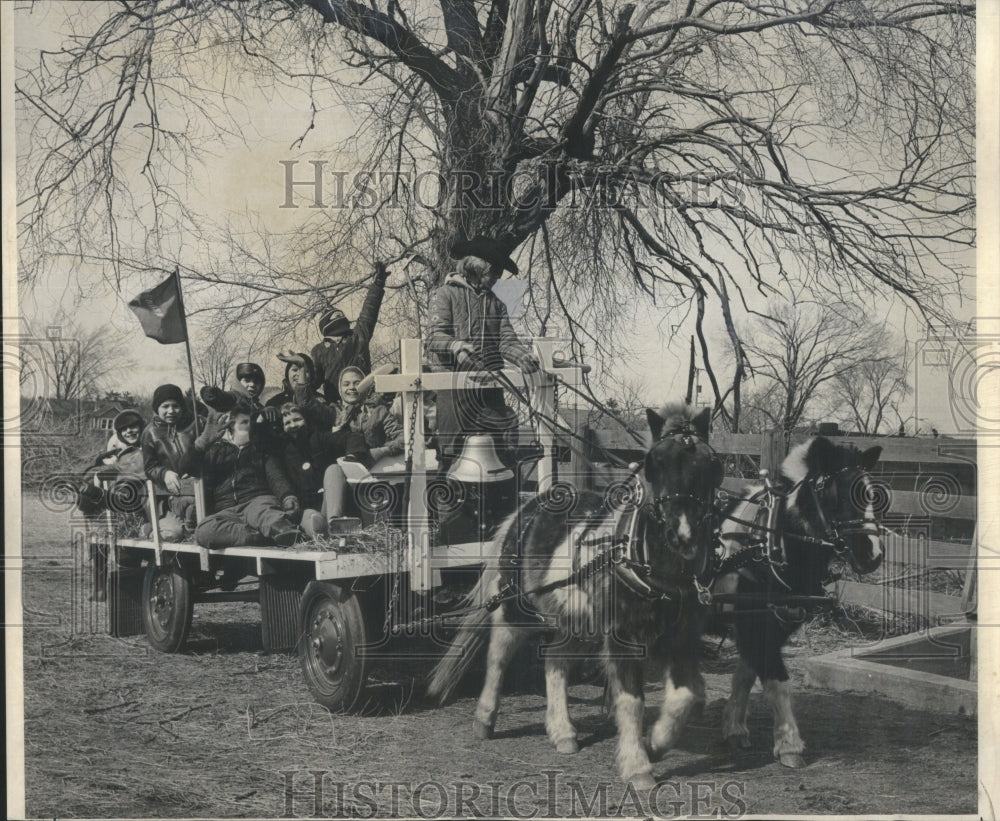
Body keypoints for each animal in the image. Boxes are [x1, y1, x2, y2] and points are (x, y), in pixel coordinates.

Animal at [426, 404, 724, 788]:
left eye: (711, 464)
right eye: (654, 463)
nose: (683, 536)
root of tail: (529, 506)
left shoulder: (681, 637)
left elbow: (690, 694)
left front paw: (656, 743)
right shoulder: (623, 637)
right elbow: (631, 700)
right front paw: (638, 766)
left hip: (574, 620)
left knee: (555, 661)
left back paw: (563, 732)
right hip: (517, 608)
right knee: (498, 655)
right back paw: (485, 718)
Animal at [712, 438, 884, 764]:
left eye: (872, 496)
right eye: (838, 494)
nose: (873, 554)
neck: (766, 543)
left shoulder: (768, 624)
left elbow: (745, 675)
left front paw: (734, 729)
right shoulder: (755, 624)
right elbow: (776, 681)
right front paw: (789, 745)